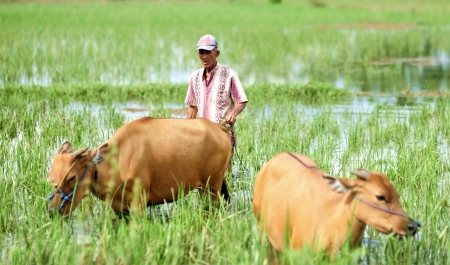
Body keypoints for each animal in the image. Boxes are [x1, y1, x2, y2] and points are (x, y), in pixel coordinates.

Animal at [47, 116, 232, 216]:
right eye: (51, 180)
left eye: (71, 177)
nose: (53, 212)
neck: (117, 162)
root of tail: (219, 128)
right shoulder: (119, 209)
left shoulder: (139, 204)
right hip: (203, 189)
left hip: (213, 187)